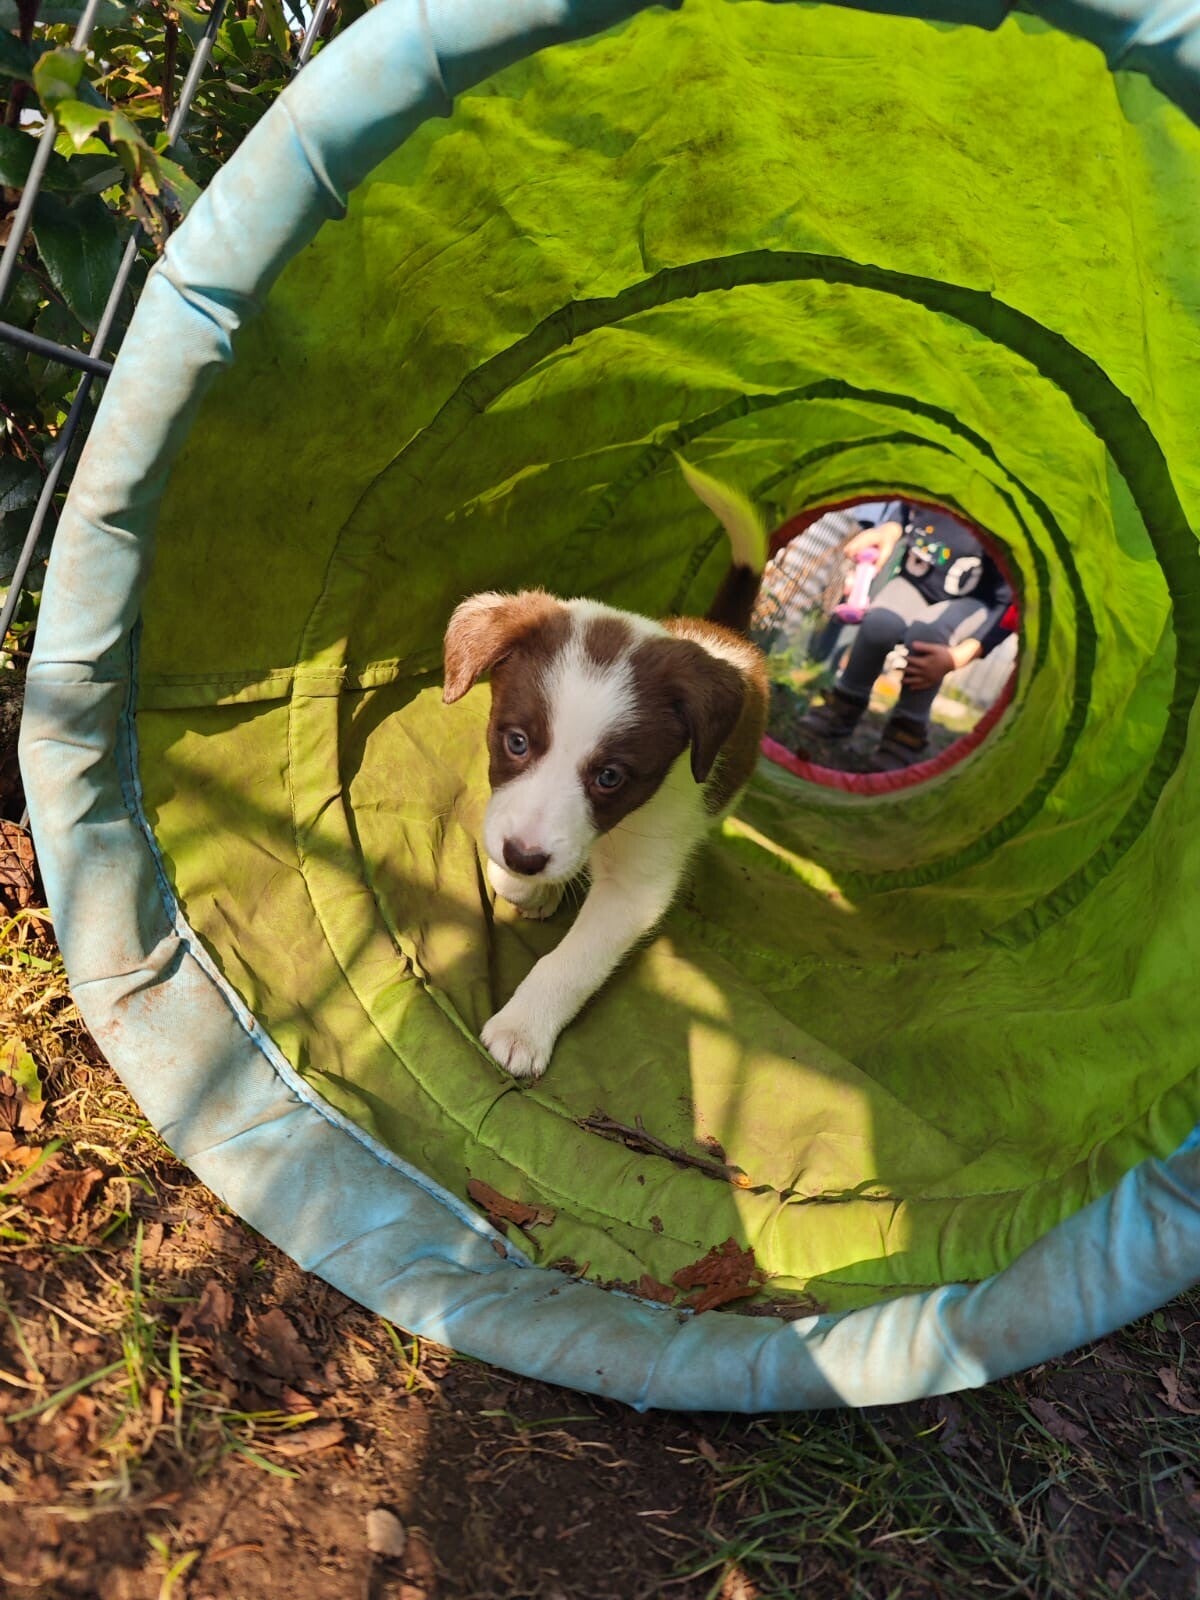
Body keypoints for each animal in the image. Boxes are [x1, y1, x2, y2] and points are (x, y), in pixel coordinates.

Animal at [441, 460, 770, 1079]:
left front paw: (523, 1029)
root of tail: (725, 634)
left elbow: (571, 963)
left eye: (611, 777)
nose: (525, 857)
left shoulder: (637, 887)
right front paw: (528, 886)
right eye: (516, 741)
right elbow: (515, 867)